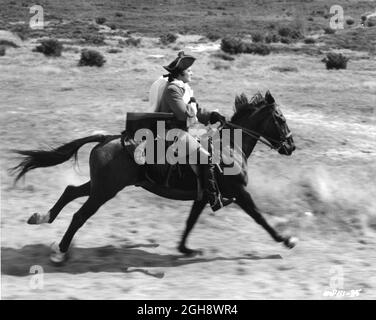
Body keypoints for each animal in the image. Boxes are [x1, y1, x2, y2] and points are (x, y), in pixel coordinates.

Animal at [11, 91, 296, 264]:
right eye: (280, 119)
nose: (291, 147)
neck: (229, 147)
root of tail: (106, 138)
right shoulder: (239, 193)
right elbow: (260, 218)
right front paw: (286, 240)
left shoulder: (204, 196)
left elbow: (190, 223)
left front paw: (185, 249)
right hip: (104, 191)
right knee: (79, 216)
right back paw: (59, 252)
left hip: (99, 186)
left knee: (70, 190)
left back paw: (42, 217)